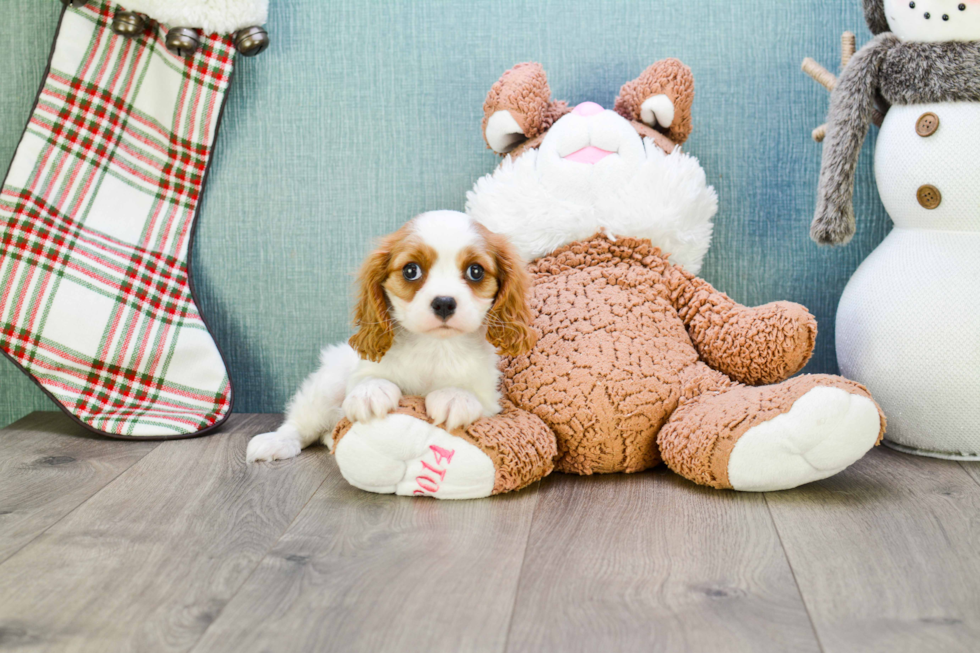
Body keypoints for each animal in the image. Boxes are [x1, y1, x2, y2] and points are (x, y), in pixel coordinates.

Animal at [245, 210, 536, 464]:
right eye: (411, 271)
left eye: (476, 271)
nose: (444, 302)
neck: (435, 346)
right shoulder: (362, 370)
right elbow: (368, 379)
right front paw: (371, 392)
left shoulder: (489, 397)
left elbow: (471, 394)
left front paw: (455, 397)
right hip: (326, 386)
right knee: (300, 424)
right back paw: (276, 442)